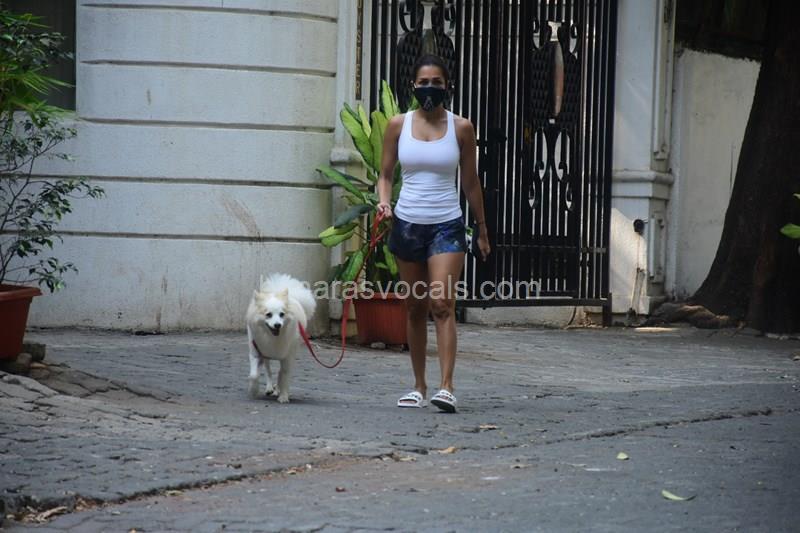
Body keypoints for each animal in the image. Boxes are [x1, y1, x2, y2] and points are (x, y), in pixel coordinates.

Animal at [246, 273, 316, 403]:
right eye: (268, 314)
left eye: (282, 314)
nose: (278, 325)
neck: (273, 338)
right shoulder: (256, 352)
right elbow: (254, 375)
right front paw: (253, 390)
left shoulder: (288, 356)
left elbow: (284, 376)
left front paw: (283, 396)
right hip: (265, 356)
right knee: (268, 370)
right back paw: (269, 388)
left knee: (279, 373)